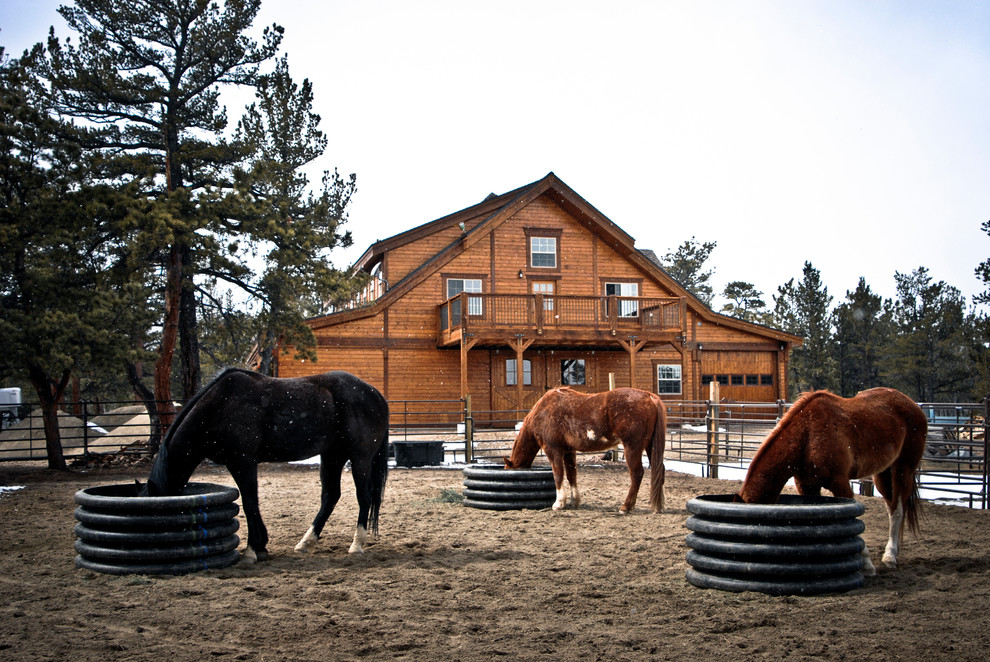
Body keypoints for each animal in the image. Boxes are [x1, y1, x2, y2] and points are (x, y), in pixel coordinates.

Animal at [143, 368, 392, 564]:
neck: (219, 405)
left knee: (364, 496)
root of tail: (376, 394)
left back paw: (356, 545)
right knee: (331, 496)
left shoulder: (242, 461)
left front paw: (252, 550)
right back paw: (306, 542)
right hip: (333, 456)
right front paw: (261, 546)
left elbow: (249, 501)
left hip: (359, 458)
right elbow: (251, 501)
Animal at [504, 386, 668, 516]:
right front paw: (574, 501)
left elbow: (558, 475)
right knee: (659, 469)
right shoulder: (569, 451)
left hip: (632, 447)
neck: (543, 411)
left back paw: (625, 507)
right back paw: (659, 506)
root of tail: (649, 397)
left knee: (636, 474)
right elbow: (571, 475)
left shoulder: (553, 450)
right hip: (650, 446)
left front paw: (559, 503)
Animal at [736, 390, 928, 576]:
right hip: (882, 474)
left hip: (903, 470)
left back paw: (890, 556)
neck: (807, 434)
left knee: (898, 510)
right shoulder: (807, 486)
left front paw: (867, 564)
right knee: (891, 507)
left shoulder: (840, 483)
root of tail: (912, 405)